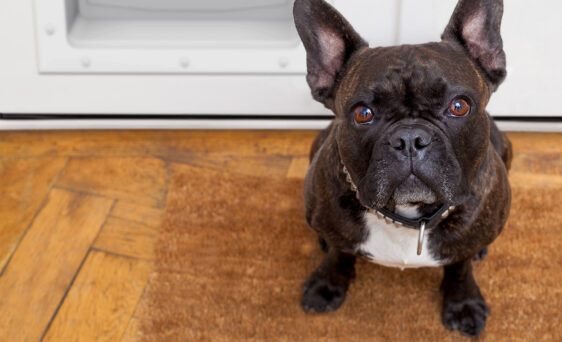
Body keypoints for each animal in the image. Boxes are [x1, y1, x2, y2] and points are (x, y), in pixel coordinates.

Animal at [294, 0, 512, 336]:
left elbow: (460, 268)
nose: (410, 138)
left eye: (459, 106)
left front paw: (462, 303)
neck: (409, 217)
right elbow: (339, 253)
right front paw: (327, 285)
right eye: (363, 113)